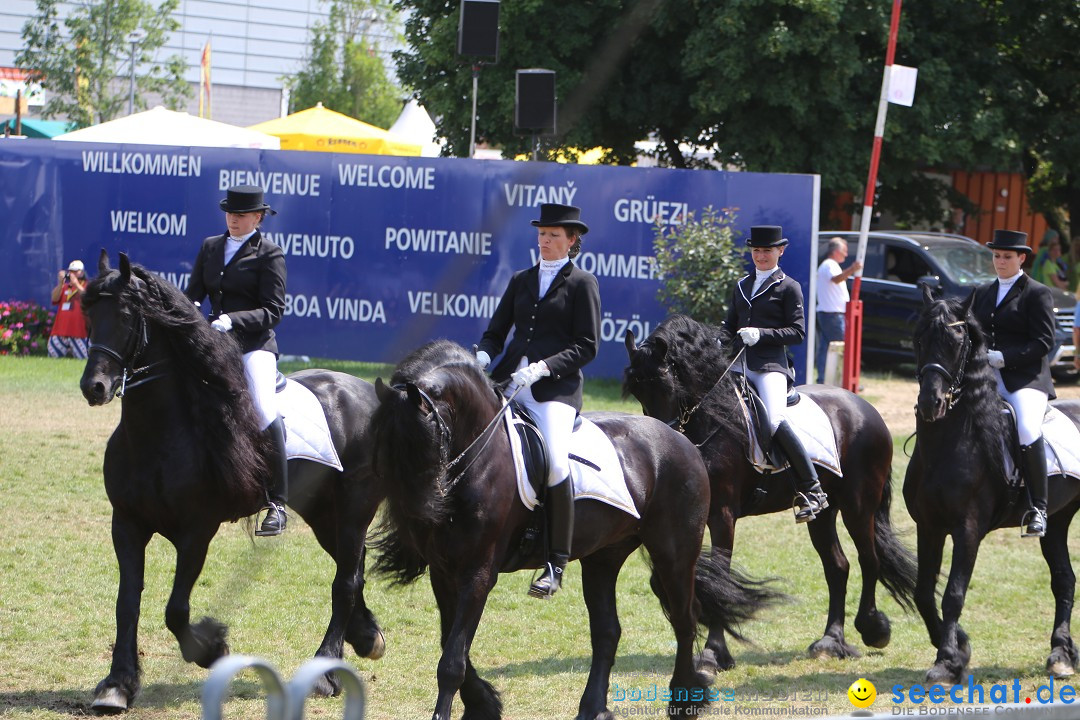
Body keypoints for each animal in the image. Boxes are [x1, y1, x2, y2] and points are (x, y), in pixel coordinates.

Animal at [79, 250, 386, 712]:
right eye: (87, 313)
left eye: (126, 315)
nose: (94, 386)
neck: (158, 434)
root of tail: (366, 391)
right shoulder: (127, 524)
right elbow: (127, 602)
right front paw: (117, 684)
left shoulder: (196, 531)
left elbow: (175, 609)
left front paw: (213, 648)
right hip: (321, 512)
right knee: (354, 567)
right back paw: (366, 637)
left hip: (353, 509)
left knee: (346, 580)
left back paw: (326, 672)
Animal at [371, 341, 777, 720]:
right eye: (387, 448)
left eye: (424, 443)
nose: (419, 518)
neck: (481, 457)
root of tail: (683, 441)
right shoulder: (443, 571)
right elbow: (450, 644)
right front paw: (484, 703)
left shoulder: (479, 572)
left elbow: (452, 661)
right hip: (603, 558)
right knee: (608, 632)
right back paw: (594, 707)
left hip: (674, 553)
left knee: (685, 620)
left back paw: (684, 700)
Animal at [622, 313, 915, 673]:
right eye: (637, 390)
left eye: (666, 385)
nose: (661, 440)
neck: (711, 420)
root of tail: (867, 409)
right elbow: (670, 579)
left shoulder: (722, 515)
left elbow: (722, 578)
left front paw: (713, 653)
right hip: (824, 512)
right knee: (838, 566)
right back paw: (831, 641)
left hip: (859, 505)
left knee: (868, 559)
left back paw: (873, 628)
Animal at [907, 284, 1080, 686]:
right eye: (919, 339)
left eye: (956, 342)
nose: (931, 403)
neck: (947, 445)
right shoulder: (929, 526)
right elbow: (924, 592)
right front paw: (960, 648)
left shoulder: (968, 529)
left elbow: (953, 593)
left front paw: (947, 662)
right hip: (1058, 520)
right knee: (1064, 579)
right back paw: (1061, 655)